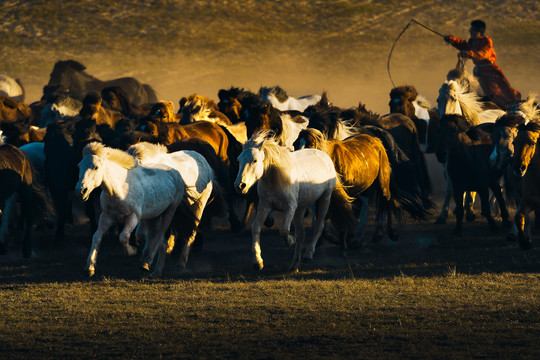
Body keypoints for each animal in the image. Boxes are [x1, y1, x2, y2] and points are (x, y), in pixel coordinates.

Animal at [233, 131, 354, 272]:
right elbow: (255, 228)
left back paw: (308, 255)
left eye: (254, 160)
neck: (276, 179)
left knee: (319, 227)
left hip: (325, 199)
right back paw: (294, 264)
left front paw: (290, 240)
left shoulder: (290, 208)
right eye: (239, 160)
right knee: (301, 234)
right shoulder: (265, 207)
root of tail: (324, 156)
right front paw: (258, 261)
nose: (240, 185)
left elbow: (284, 230)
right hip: (300, 209)